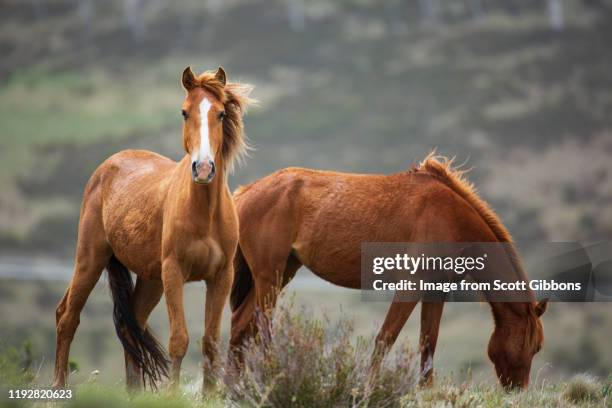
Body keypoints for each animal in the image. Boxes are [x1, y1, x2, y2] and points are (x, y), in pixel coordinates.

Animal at [52, 67, 253, 392]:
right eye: (184, 112)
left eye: (222, 113)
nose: (204, 168)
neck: (205, 214)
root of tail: (107, 166)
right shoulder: (174, 272)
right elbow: (179, 341)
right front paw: (172, 395)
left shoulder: (221, 277)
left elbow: (210, 342)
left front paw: (210, 396)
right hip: (90, 259)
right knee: (67, 316)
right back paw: (58, 388)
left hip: (150, 280)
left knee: (130, 326)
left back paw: (133, 392)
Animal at [228, 155, 544, 390]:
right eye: (535, 346)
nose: (517, 390)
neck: (451, 216)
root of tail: (247, 192)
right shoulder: (409, 287)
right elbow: (385, 340)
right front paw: (367, 389)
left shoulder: (436, 291)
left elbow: (428, 343)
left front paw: (426, 392)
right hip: (269, 276)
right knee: (260, 327)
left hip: (279, 274)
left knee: (241, 324)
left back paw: (232, 385)